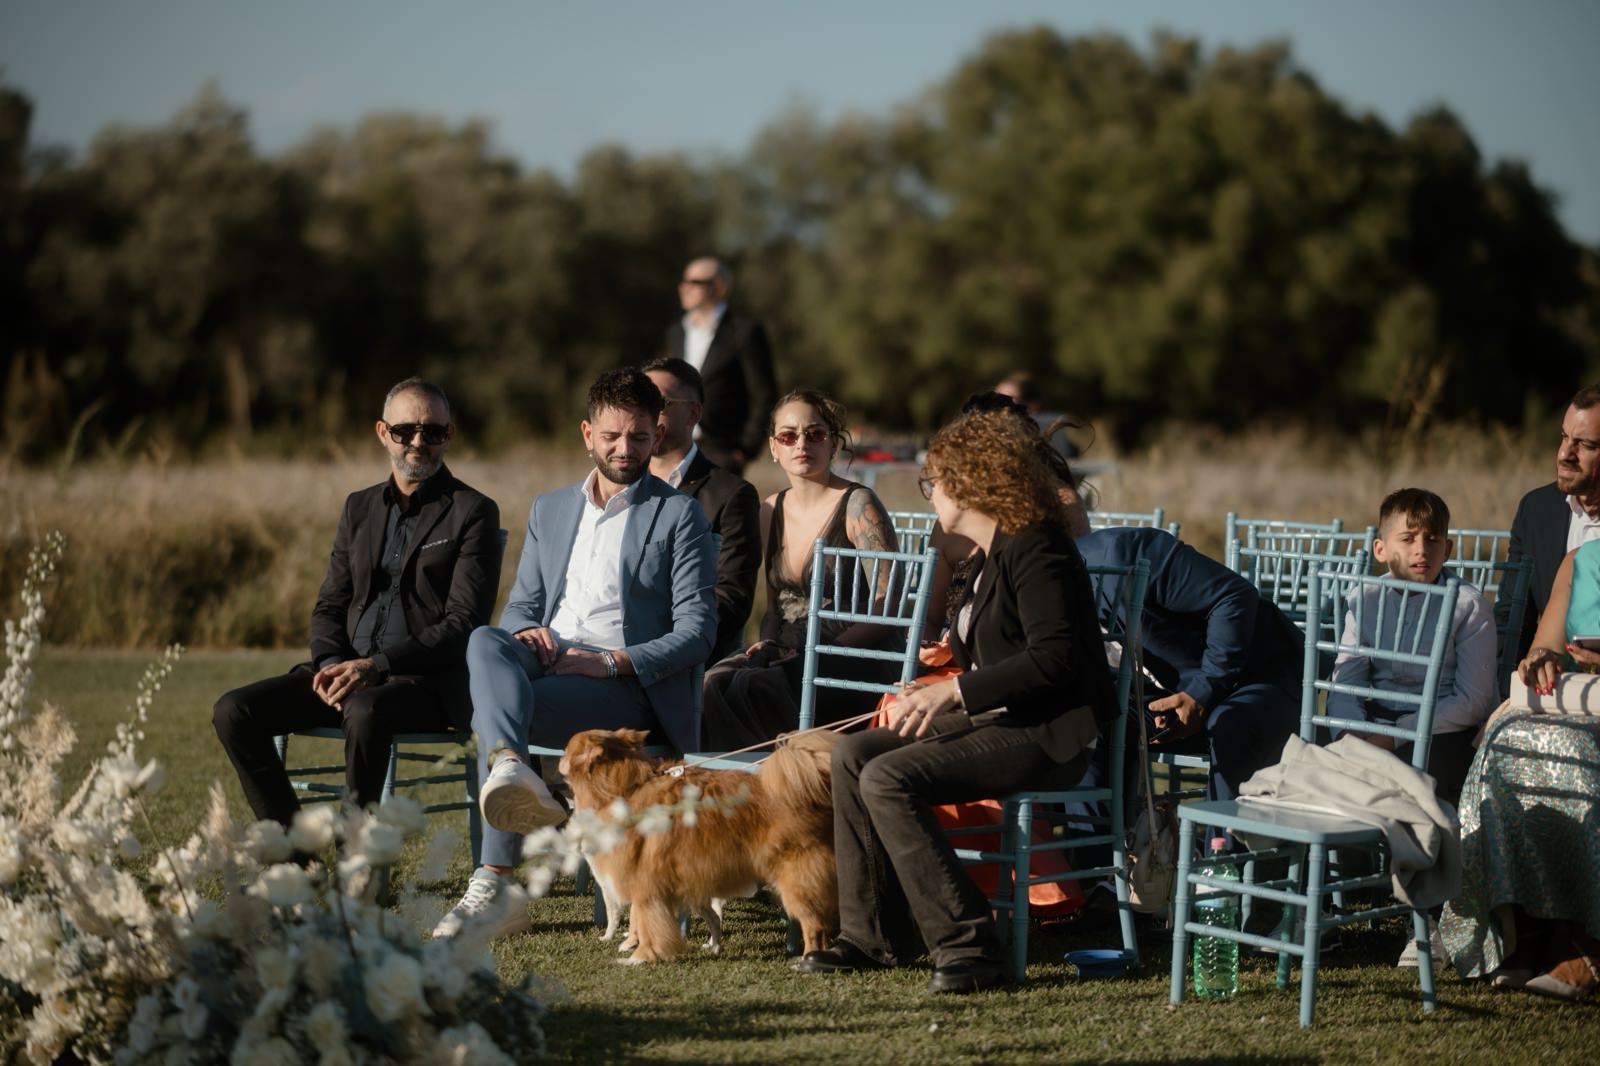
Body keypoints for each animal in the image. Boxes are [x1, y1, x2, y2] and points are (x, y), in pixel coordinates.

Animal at [559, 727, 840, 964]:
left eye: (566, 750)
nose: (559, 759)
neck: (628, 788)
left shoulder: (645, 882)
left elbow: (645, 924)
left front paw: (638, 957)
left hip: (796, 881)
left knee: (814, 926)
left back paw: (807, 959)